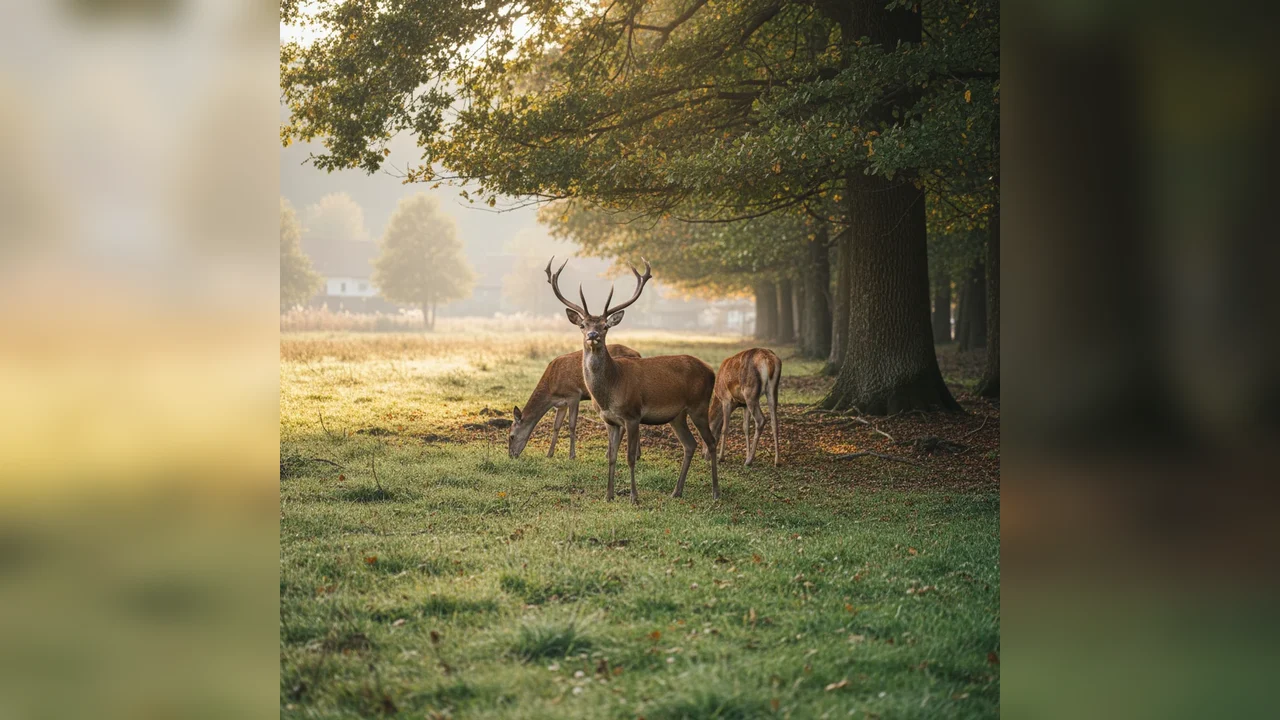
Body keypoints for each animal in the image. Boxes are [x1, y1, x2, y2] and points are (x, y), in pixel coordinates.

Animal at [507, 345, 641, 459]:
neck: (551, 389)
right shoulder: (560, 404)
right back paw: (636, 455)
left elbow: (572, 425)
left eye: (512, 436)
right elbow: (556, 426)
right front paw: (549, 454)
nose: (511, 455)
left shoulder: (574, 395)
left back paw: (610, 454)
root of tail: (638, 354)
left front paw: (572, 455)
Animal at [546, 257, 720, 504]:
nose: (592, 336)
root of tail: (711, 370)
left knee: (710, 442)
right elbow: (611, 457)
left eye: (605, 326)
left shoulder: (633, 415)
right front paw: (608, 495)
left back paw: (715, 492)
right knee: (690, 444)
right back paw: (676, 491)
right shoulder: (609, 420)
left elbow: (629, 457)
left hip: (699, 405)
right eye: (582, 325)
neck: (611, 389)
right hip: (677, 415)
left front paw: (634, 497)